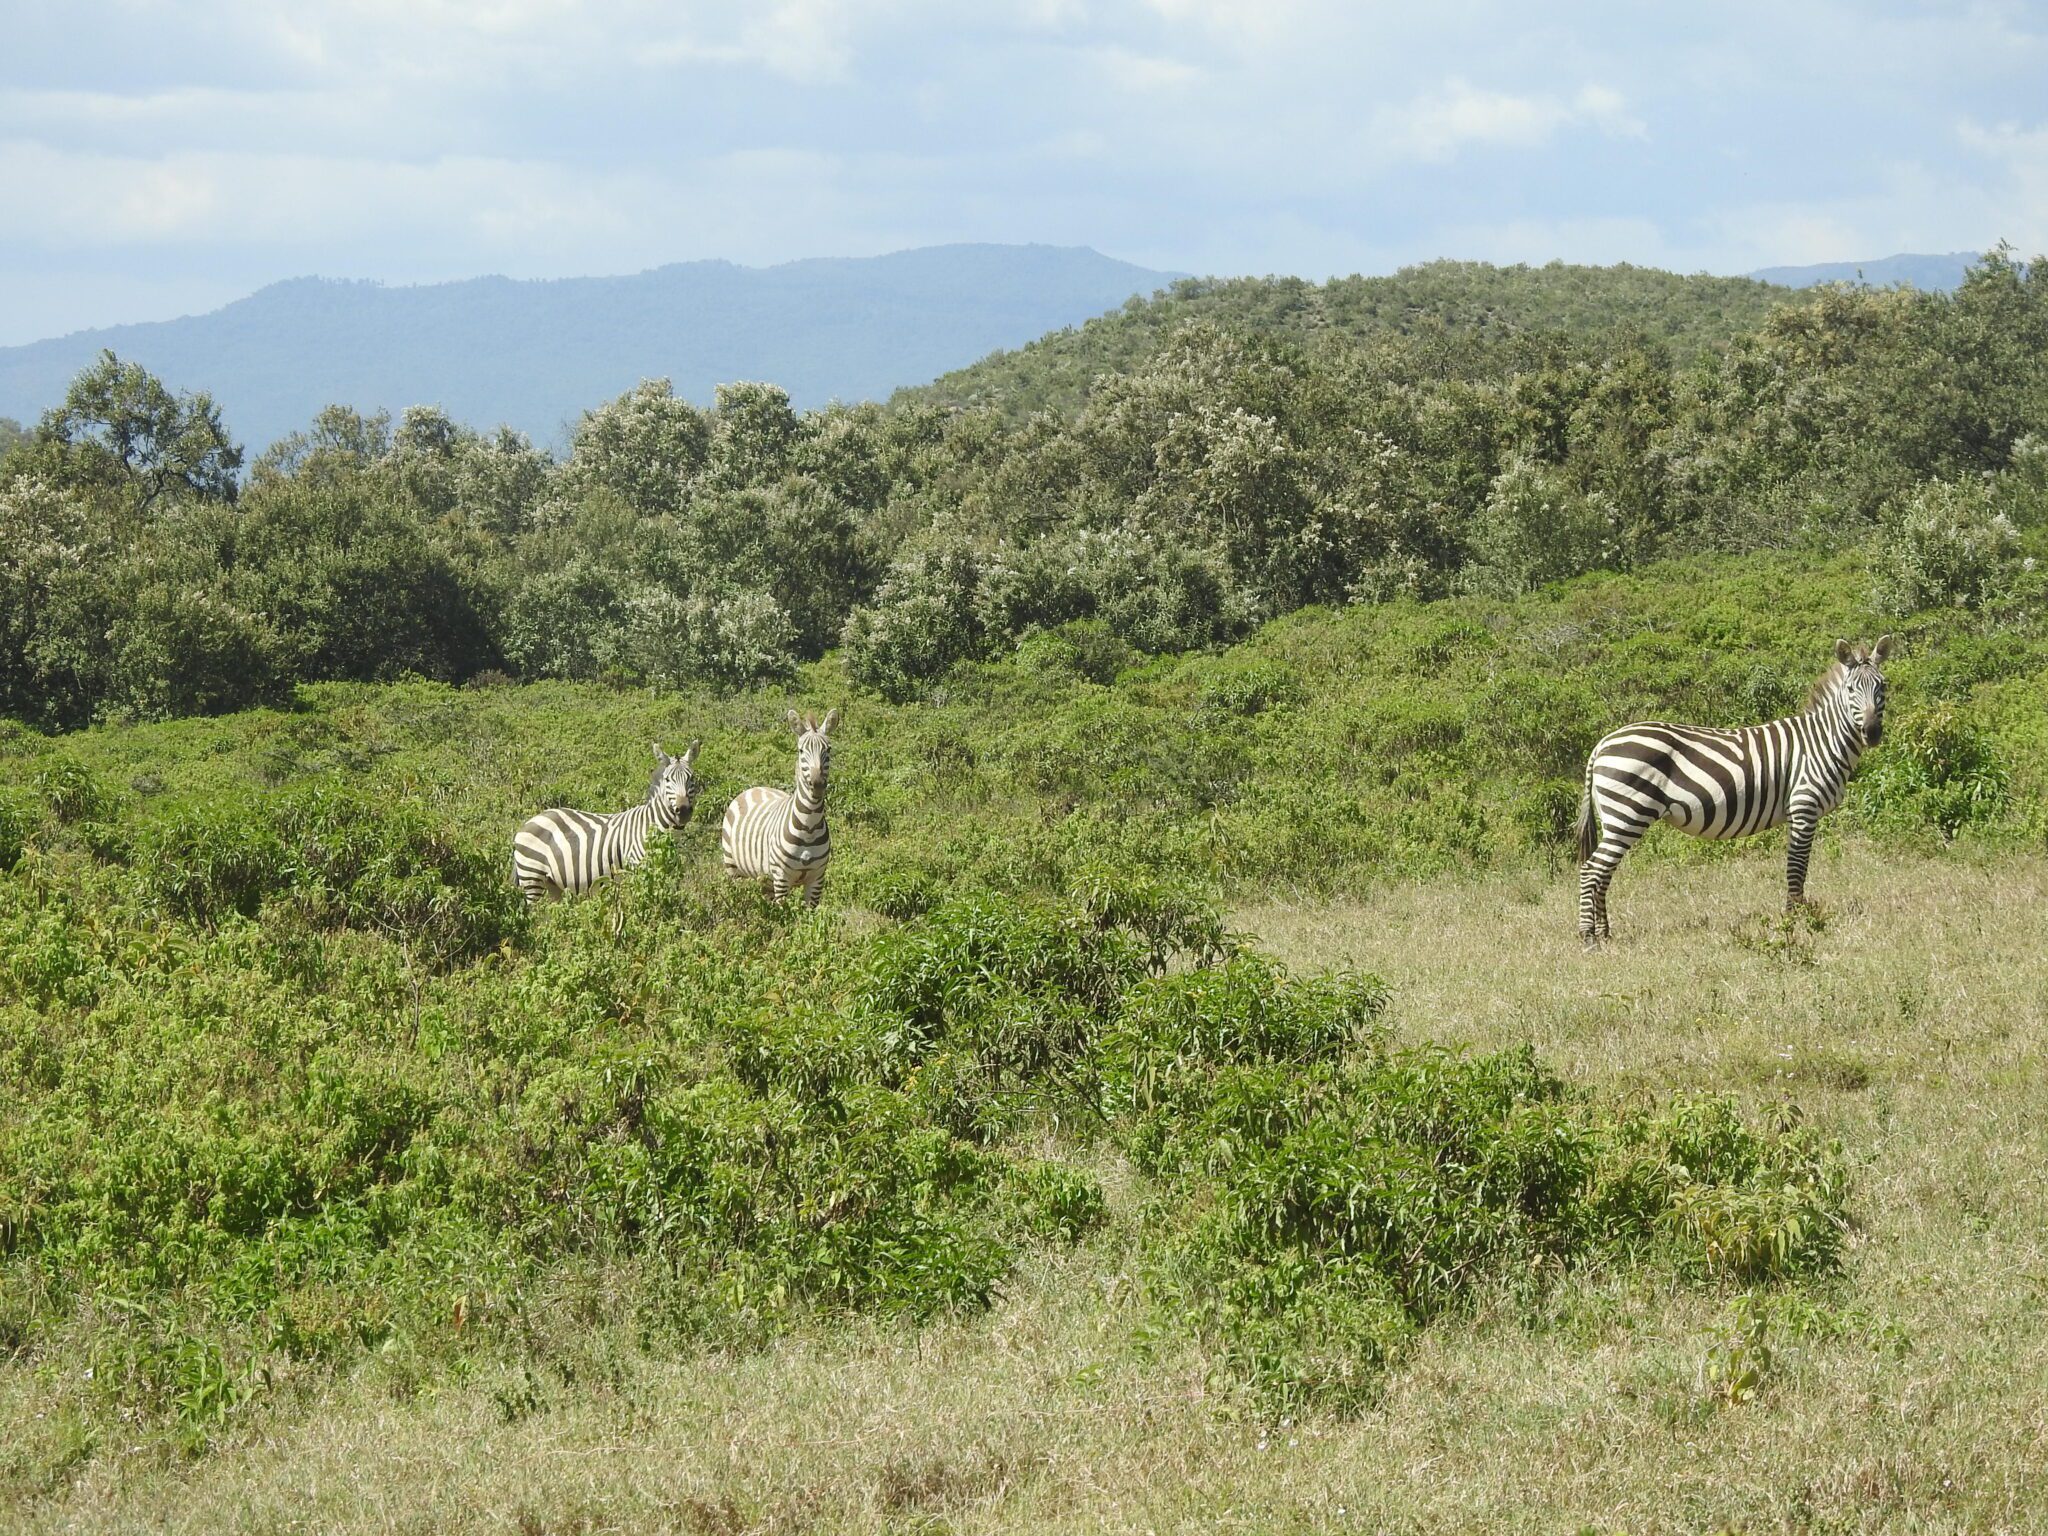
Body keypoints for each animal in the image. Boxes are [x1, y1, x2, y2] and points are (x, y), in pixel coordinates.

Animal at [511, 742, 701, 902]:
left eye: (691, 778)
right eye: (668, 780)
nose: (683, 810)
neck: (653, 827)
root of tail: (527, 823)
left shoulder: (666, 872)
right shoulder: (637, 870)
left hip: (552, 885)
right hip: (532, 878)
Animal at [722, 709, 838, 906]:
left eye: (828, 749)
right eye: (801, 750)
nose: (817, 784)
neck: (809, 826)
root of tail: (754, 788)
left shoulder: (817, 879)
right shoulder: (782, 878)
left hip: (764, 878)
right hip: (732, 868)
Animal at [1574, 637, 1893, 942]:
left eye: (1883, 686)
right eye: (1851, 689)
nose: (1872, 733)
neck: (1822, 742)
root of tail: (1602, 744)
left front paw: (1796, 916)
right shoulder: (1804, 807)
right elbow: (1797, 867)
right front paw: (1796, 919)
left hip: (1615, 819)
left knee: (1603, 872)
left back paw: (1605, 933)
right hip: (1628, 813)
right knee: (1592, 870)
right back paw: (1588, 936)